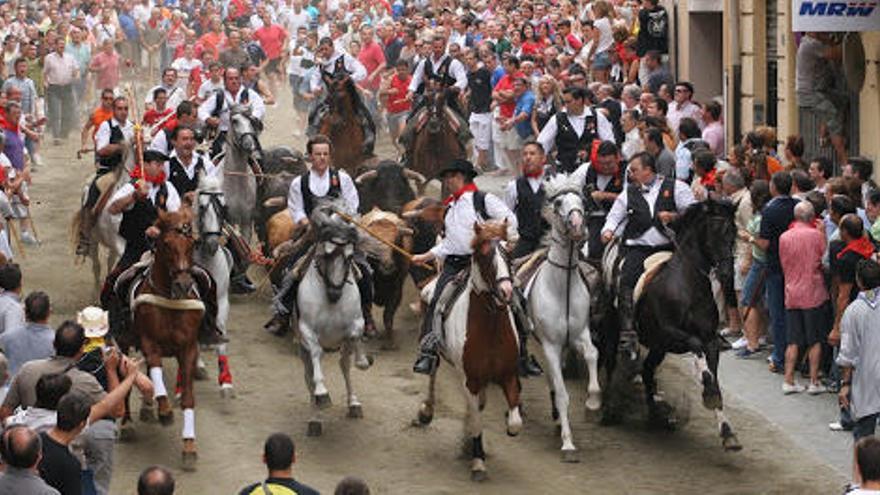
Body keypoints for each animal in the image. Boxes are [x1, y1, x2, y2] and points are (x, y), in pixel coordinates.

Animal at [123, 208, 204, 468]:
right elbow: (155, 371)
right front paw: (166, 411)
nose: (183, 285)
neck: (170, 300)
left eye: (193, 243)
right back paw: (128, 423)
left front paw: (189, 446)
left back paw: (148, 407)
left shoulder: (189, 348)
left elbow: (188, 397)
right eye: (166, 244)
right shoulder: (150, 342)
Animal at [294, 200, 366, 436]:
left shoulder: (357, 322)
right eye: (326, 255)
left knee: (344, 366)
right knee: (308, 377)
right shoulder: (306, 330)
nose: (335, 293)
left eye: (350, 257)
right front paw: (323, 393)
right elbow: (317, 354)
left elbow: (355, 335)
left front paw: (363, 360)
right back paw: (315, 417)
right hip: (302, 349)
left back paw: (354, 404)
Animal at [524, 173, 600, 462]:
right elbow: (563, 394)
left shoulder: (580, 333)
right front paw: (568, 444)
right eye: (557, 203)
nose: (578, 226)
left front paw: (592, 404)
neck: (562, 284)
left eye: (582, 200)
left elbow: (592, 354)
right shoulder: (550, 345)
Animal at [600, 200, 740, 452]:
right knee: (611, 360)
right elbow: (696, 347)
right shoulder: (669, 332)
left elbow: (714, 377)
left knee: (647, 370)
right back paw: (609, 409)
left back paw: (655, 415)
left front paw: (727, 432)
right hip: (614, 325)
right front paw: (707, 390)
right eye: (714, 232)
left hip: (658, 347)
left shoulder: (709, 340)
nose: (726, 274)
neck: (688, 287)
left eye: (733, 233)